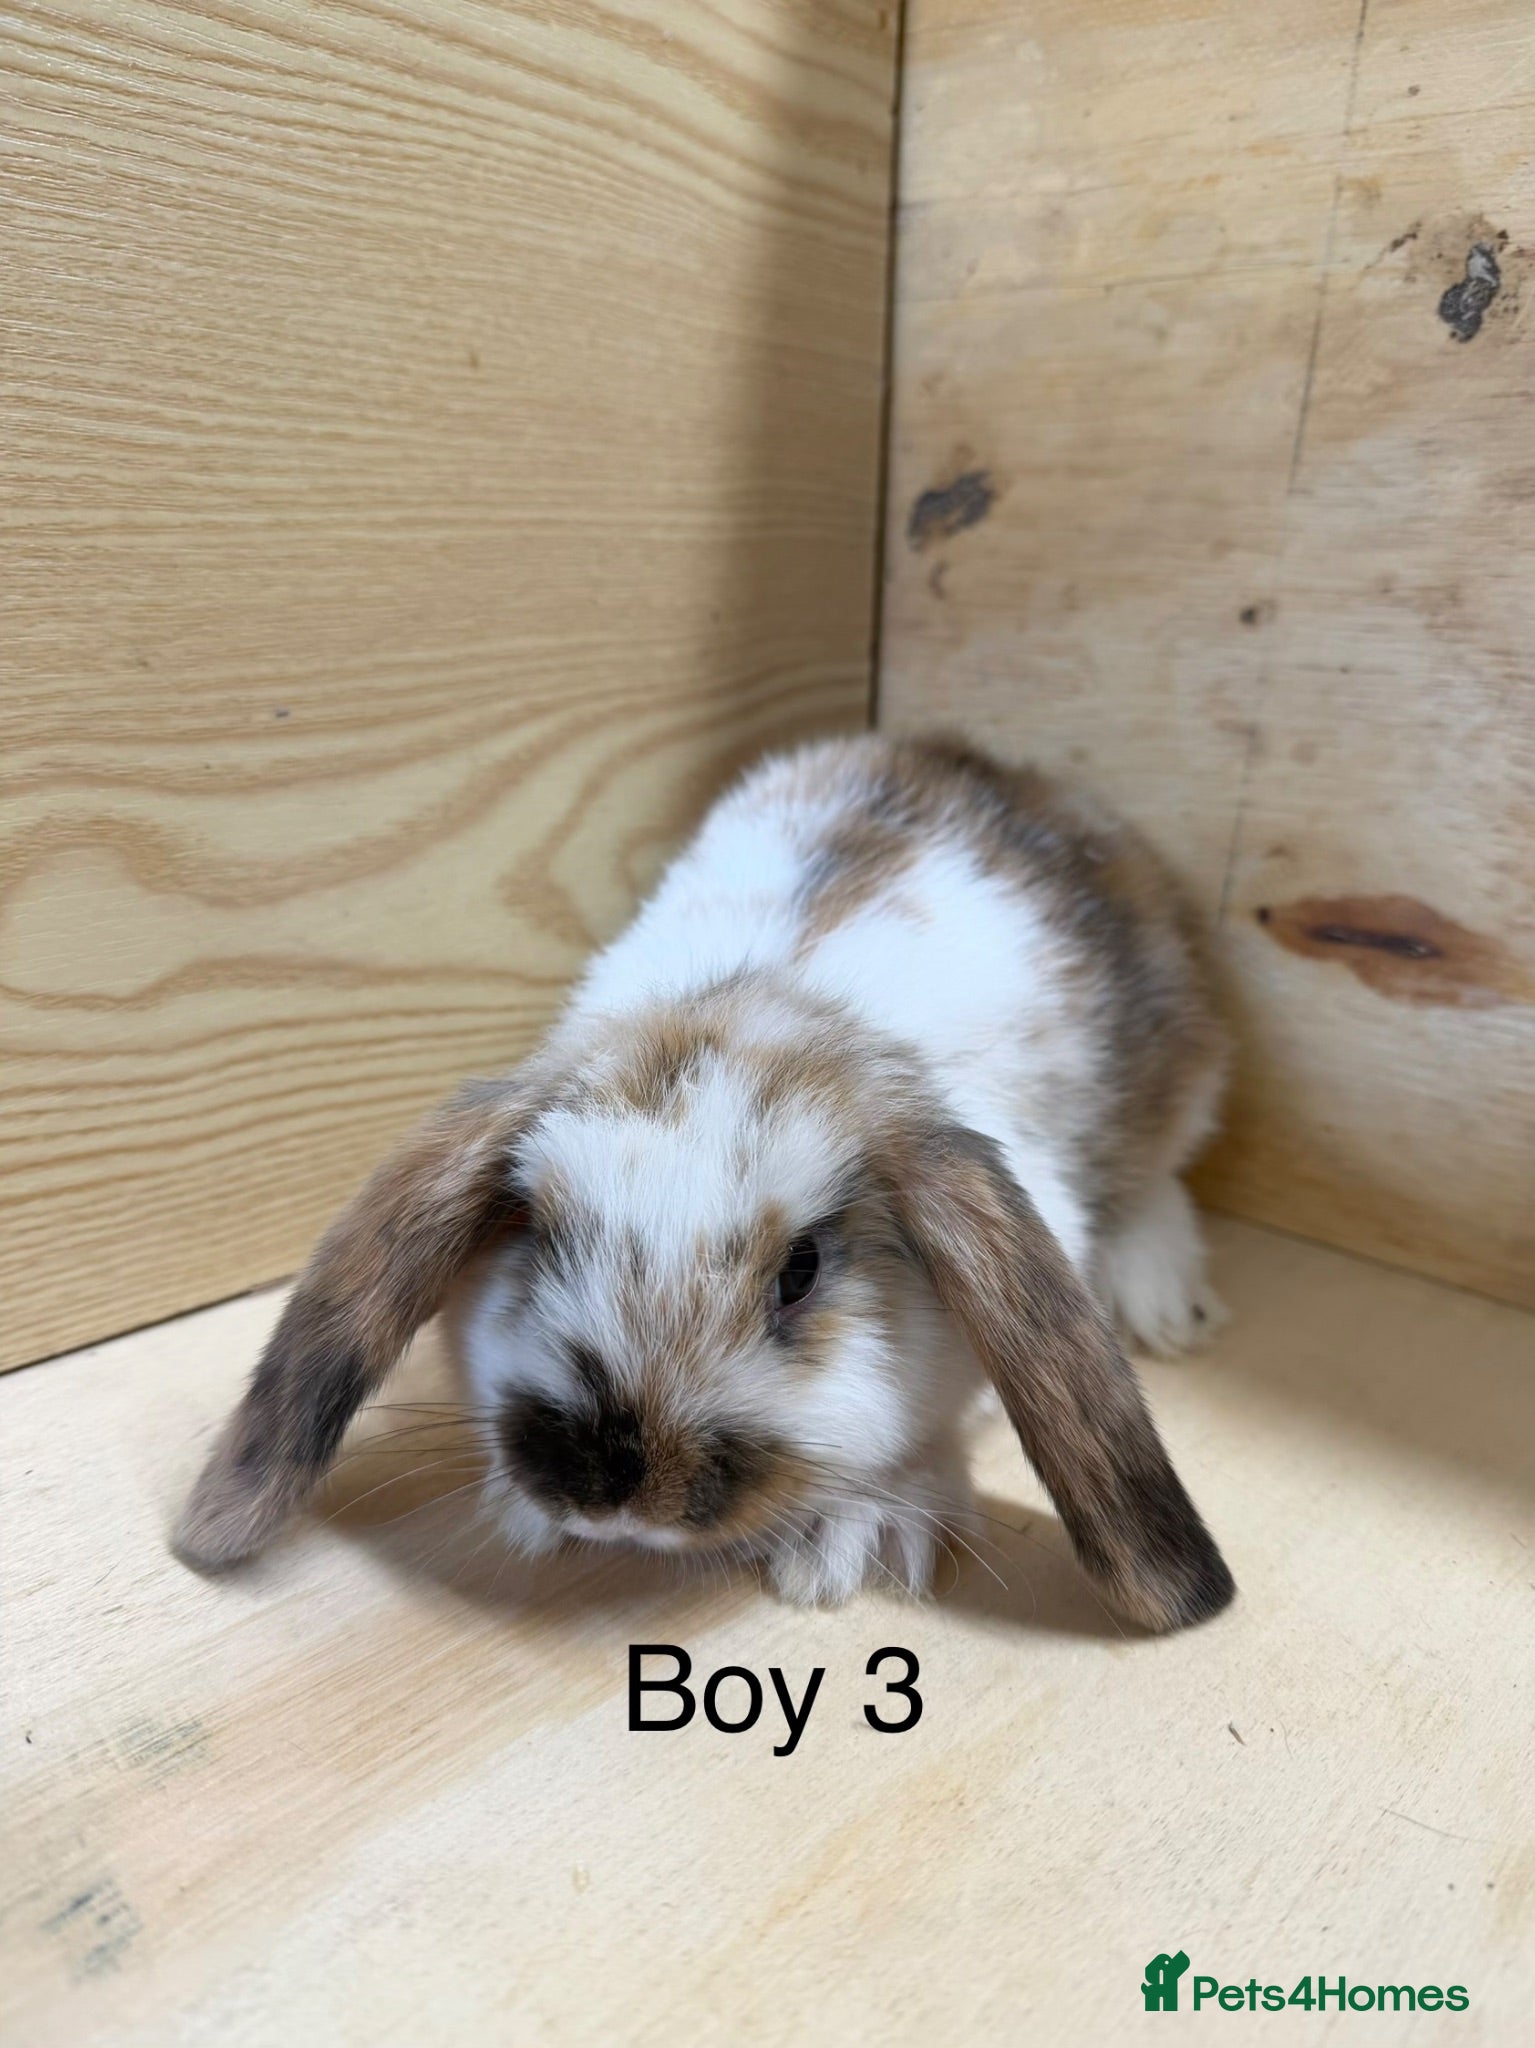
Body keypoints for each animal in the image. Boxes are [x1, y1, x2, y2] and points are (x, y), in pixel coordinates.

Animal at [175, 732, 1234, 1631]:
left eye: (801, 1271)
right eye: (538, 1238)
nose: (613, 1487)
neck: (770, 1002)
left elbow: (930, 1439)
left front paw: (847, 1545)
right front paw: (523, 1514)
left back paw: (1160, 1299)